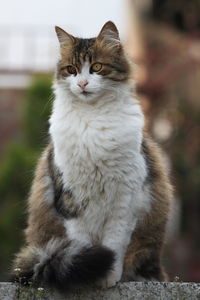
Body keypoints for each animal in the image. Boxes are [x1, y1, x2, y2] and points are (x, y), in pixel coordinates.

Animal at [12, 20, 172, 290]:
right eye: (71, 70)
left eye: (96, 67)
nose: (82, 84)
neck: (93, 118)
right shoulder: (71, 198)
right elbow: (81, 244)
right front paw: (87, 274)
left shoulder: (124, 200)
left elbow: (114, 245)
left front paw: (107, 277)